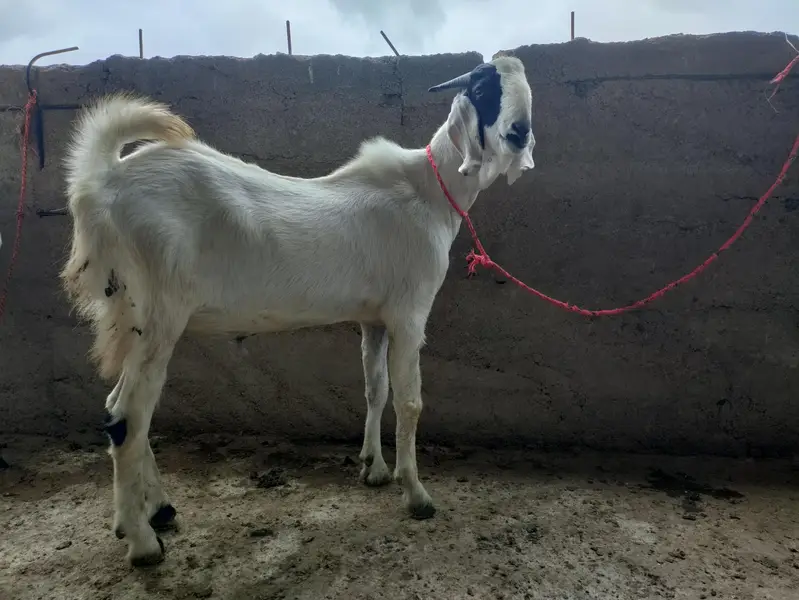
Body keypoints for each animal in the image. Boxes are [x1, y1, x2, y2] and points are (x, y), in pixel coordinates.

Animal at [60, 55, 536, 566]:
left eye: (526, 91)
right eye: (485, 90)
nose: (519, 133)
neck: (429, 190)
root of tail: (100, 182)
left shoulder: (373, 319)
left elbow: (375, 390)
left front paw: (373, 468)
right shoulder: (409, 313)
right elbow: (409, 402)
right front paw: (416, 493)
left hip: (132, 316)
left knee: (117, 411)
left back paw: (156, 512)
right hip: (156, 312)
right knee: (129, 417)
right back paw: (144, 541)